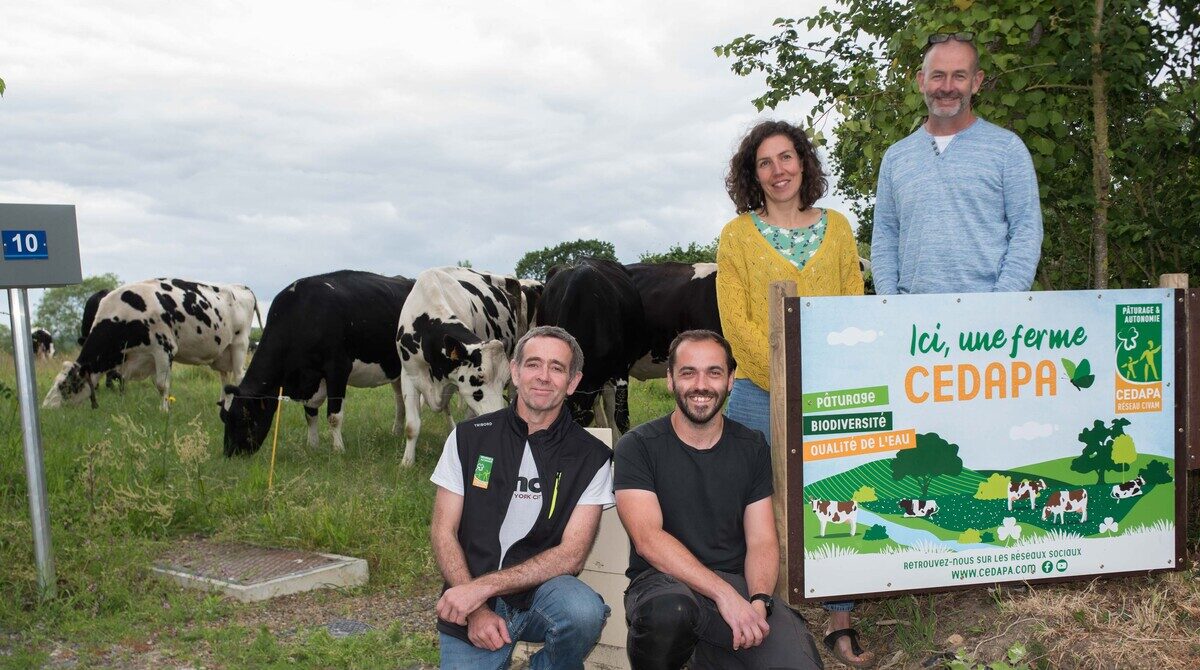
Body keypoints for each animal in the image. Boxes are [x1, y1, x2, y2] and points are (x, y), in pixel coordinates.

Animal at [43, 277, 255, 410]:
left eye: (65, 386)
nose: (46, 407)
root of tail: (242, 287)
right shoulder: (146, 357)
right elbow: (156, 383)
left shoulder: (164, 349)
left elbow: (161, 384)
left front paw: (164, 410)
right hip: (222, 354)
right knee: (225, 379)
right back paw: (223, 406)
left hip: (239, 344)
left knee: (238, 376)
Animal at [223, 270, 415, 458]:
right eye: (223, 418)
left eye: (244, 419)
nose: (229, 454)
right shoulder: (310, 379)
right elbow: (310, 414)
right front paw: (312, 446)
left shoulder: (338, 369)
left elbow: (334, 416)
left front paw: (338, 450)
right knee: (400, 401)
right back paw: (396, 432)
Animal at [396, 266, 528, 468]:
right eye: (479, 377)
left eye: (503, 380)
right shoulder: (409, 375)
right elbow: (412, 425)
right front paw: (407, 463)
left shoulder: (454, 383)